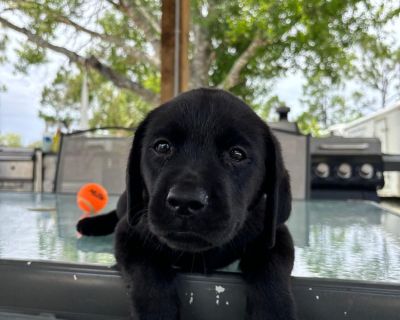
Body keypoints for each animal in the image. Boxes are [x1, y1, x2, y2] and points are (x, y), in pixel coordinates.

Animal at [78, 88, 296, 320]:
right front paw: (158, 311)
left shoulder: (273, 234)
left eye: (237, 154)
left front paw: (274, 310)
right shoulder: (130, 233)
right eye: (162, 146)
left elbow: (272, 273)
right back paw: (90, 224)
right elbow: (148, 273)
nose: (185, 201)